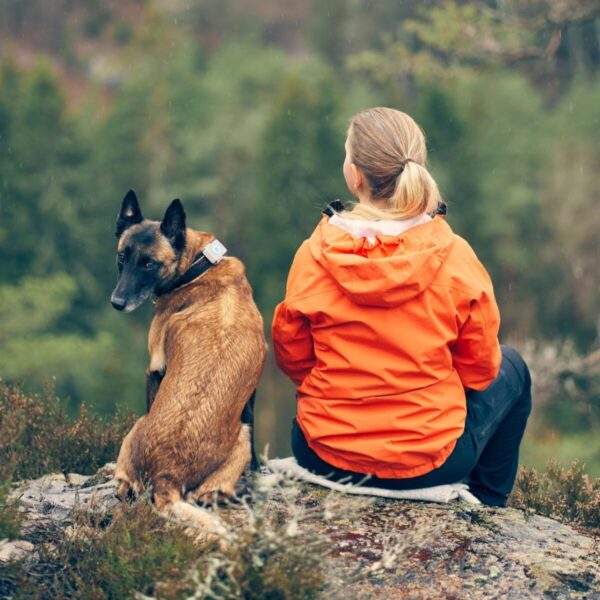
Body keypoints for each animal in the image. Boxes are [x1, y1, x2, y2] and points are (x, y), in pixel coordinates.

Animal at [110, 190, 264, 532]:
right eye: (122, 257)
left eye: (149, 263)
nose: (116, 303)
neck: (200, 266)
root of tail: (166, 476)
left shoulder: (154, 368)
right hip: (241, 436)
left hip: (137, 429)